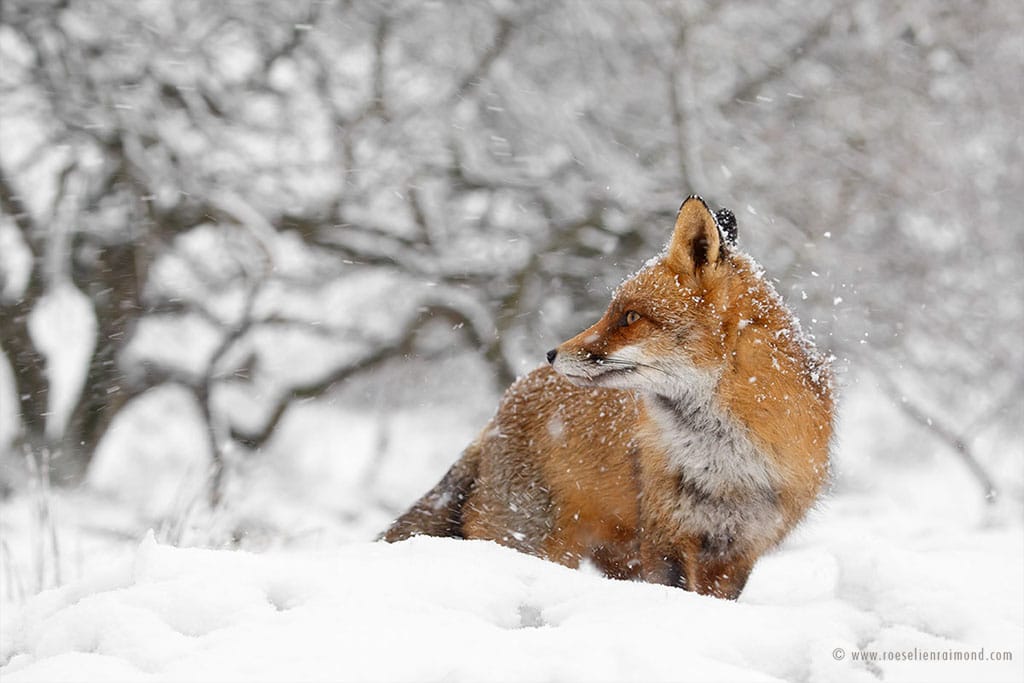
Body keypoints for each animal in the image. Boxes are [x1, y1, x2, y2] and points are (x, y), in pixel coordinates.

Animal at [385, 193, 831, 598]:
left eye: (630, 316)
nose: (551, 354)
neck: (725, 463)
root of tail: (504, 404)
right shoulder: (666, 537)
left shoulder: (740, 551)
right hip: (530, 542)